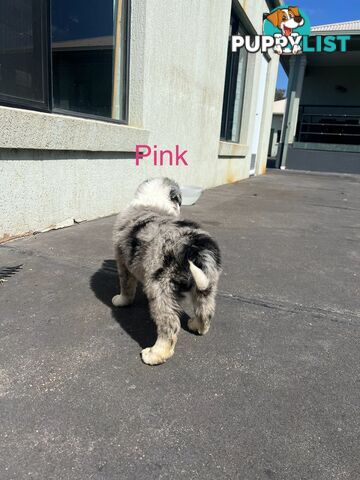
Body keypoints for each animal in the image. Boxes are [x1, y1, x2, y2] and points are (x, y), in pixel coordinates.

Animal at [112, 178, 221, 366]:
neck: (154, 201)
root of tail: (192, 246)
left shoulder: (123, 262)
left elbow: (126, 286)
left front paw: (121, 300)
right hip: (207, 282)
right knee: (205, 311)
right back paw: (196, 326)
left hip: (160, 288)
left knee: (169, 324)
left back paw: (155, 354)